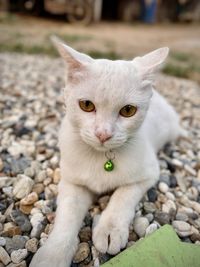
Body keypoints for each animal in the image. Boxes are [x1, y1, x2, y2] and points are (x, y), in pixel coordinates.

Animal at [30, 38, 183, 267]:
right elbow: (67, 214)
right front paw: (53, 254)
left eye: (128, 110)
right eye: (86, 105)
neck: (101, 157)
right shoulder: (72, 182)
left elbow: (122, 196)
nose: (103, 134)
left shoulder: (148, 174)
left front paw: (110, 230)